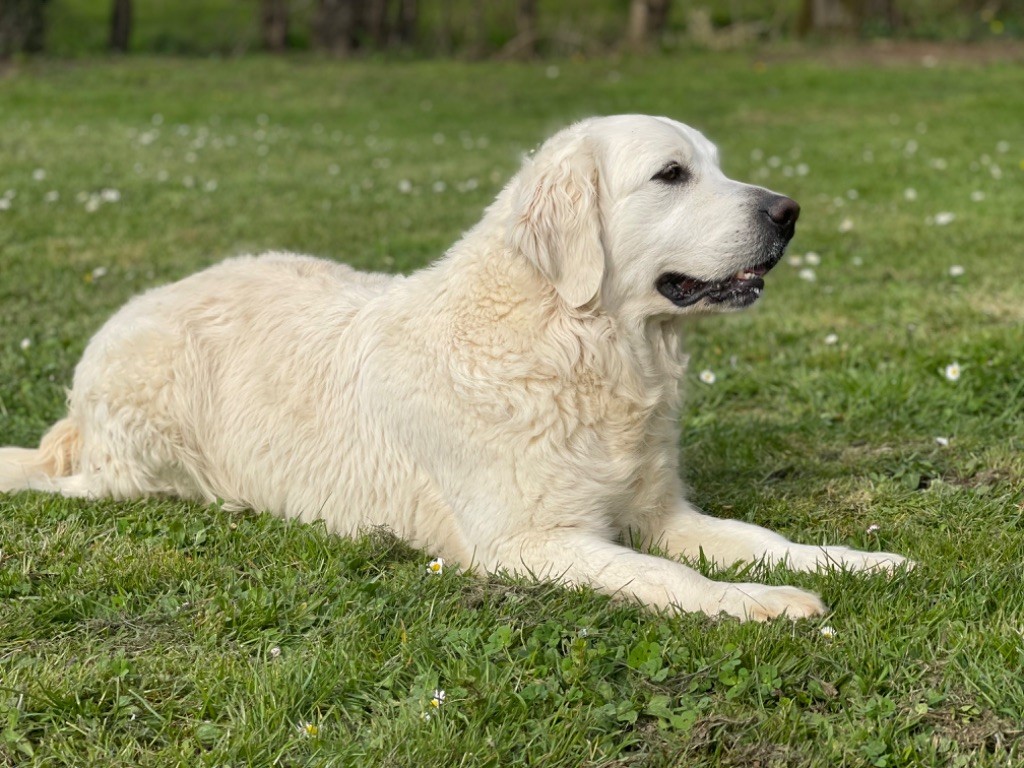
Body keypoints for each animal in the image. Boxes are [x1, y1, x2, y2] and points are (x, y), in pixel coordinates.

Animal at [0, 114, 905, 622]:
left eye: (716, 165)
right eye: (672, 174)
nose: (789, 211)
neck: (576, 344)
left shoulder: (664, 513)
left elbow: (757, 539)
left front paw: (856, 562)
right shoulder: (530, 542)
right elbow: (668, 579)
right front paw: (762, 604)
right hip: (141, 443)